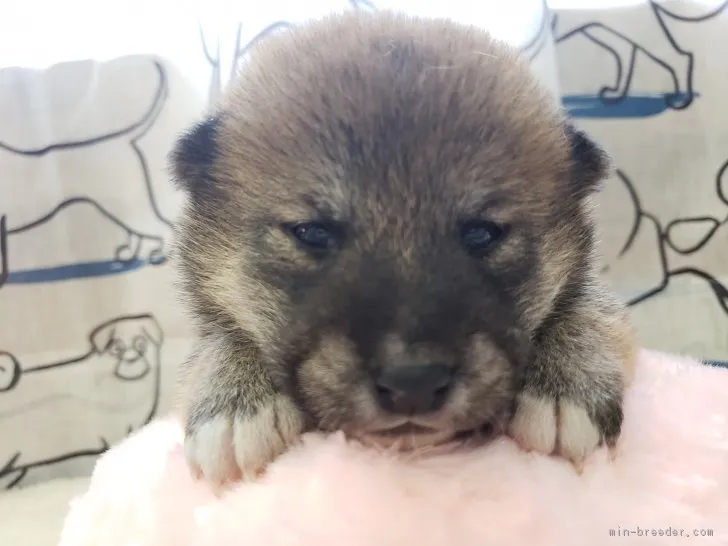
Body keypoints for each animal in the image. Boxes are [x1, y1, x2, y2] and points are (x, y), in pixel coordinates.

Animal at [171, 9, 636, 484]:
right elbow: (218, 338)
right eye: (311, 232)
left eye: (483, 233)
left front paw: (564, 383)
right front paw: (234, 399)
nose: (413, 384)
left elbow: (588, 307)